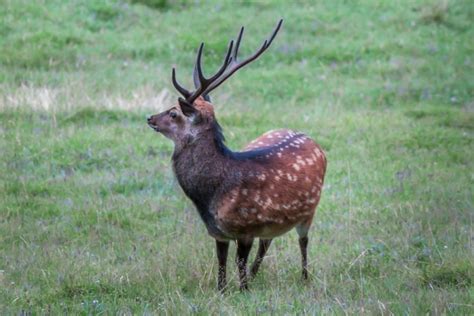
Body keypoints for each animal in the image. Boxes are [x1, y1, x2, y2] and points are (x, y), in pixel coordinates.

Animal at [147, 20, 326, 292]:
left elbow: (238, 264)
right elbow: (221, 264)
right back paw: (256, 274)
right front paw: (222, 290)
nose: (150, 118)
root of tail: (310, 139)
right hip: (273, 223)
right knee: (267, 243)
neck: (211, 197)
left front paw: (244, 290)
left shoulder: (247, 228)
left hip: (309, 211)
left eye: (174, 113)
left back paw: (304, 277)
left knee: (303, 241)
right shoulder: (218, 232)